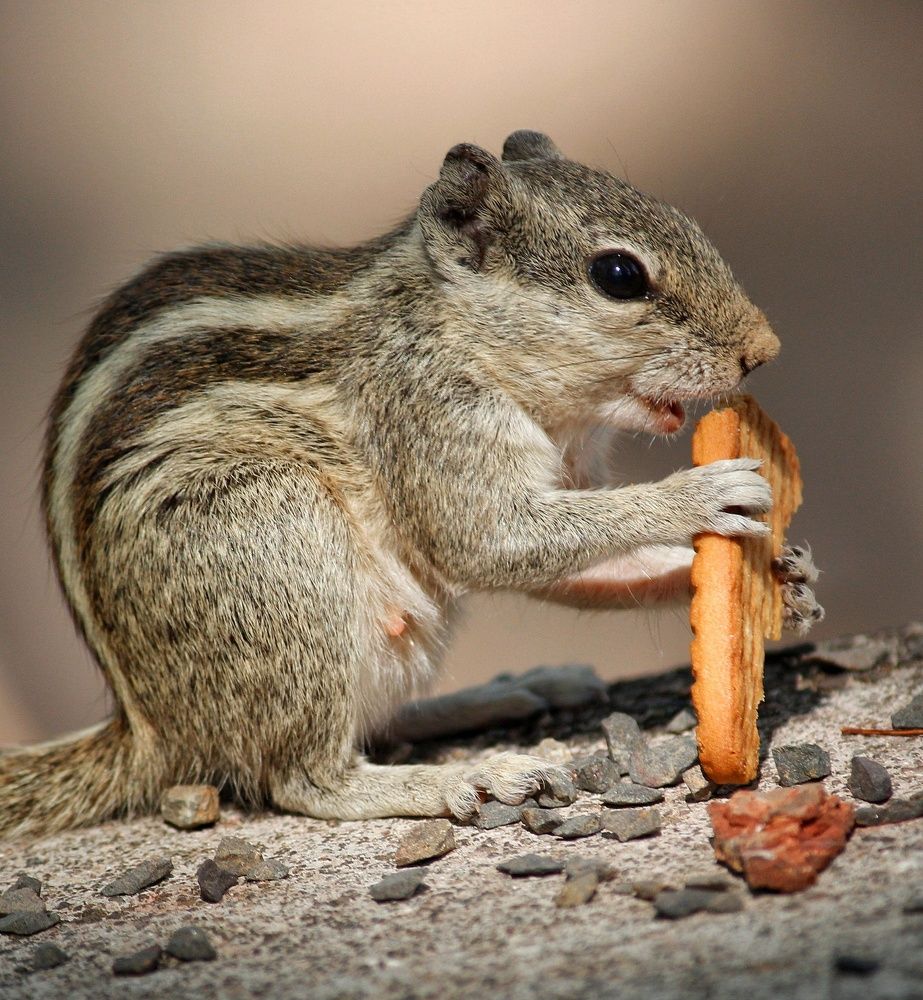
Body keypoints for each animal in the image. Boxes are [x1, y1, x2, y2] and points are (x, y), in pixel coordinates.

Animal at [0, 130, 822, 839]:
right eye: (618, 276)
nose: (764, 350)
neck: (455, 329)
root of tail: (151, 730)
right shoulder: (429, 420)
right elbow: (493, 541)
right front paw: (695, 493)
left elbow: (578, 564)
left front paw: (784, 577)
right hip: (271, 536)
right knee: (301, 777)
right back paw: (457, 779)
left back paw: (503, 694)